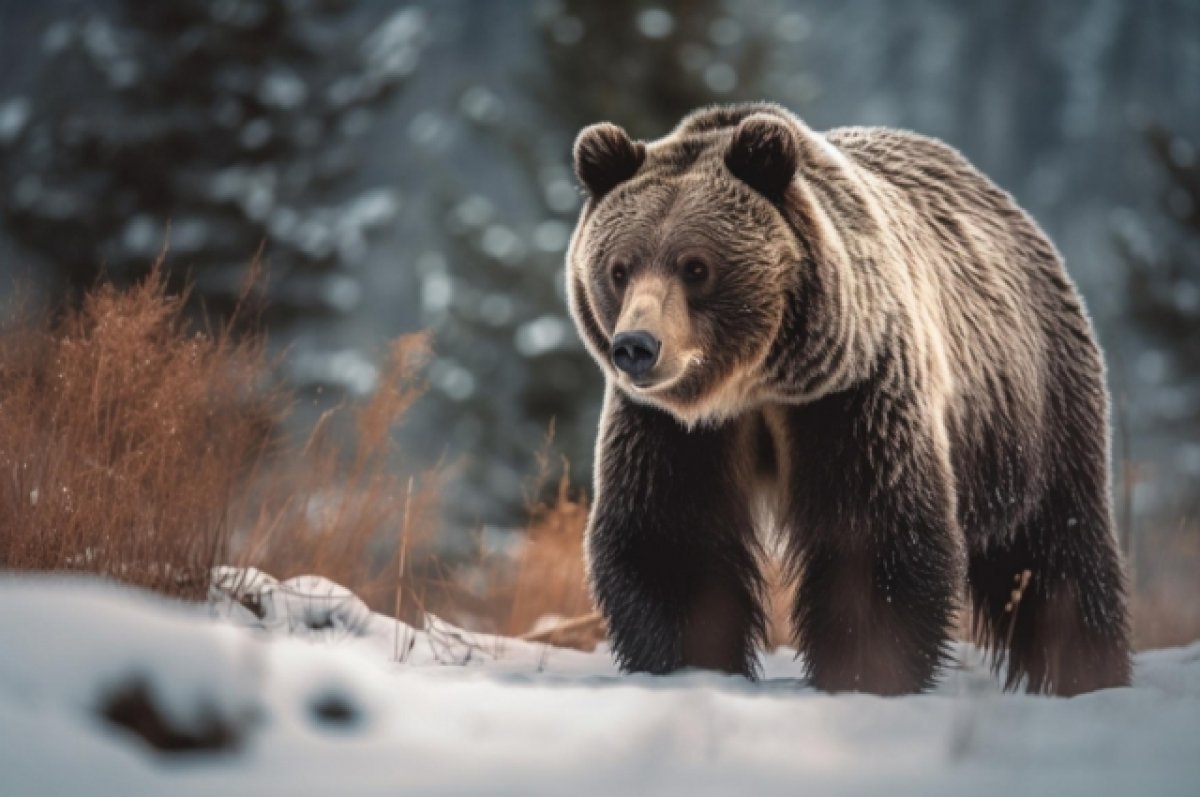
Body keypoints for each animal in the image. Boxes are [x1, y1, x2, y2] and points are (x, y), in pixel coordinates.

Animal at [566, 102, 1128, 696]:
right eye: (619, 268)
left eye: (696, 266)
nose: (636, 346)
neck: (756, 382)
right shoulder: (673, 428)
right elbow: (672, 540)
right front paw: (690, 665)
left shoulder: (853, 394)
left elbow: (873, 537)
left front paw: (866, 670)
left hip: (1032, 408)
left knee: (1057, 548)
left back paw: (1088, 668)